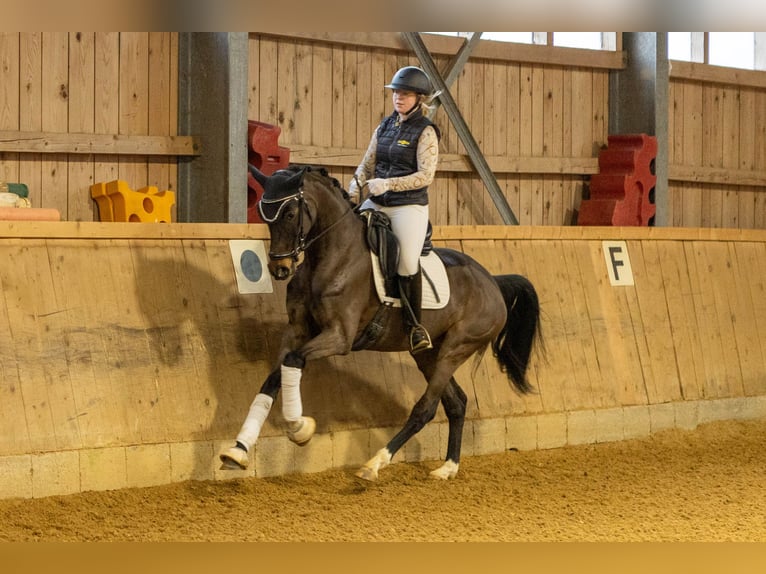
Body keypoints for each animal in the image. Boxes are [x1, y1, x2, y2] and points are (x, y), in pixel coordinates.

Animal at [220, 164, 542, 481]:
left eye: (288, 213)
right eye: (263, 214)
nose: (280, 269)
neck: (333, 256)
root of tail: (493, 282)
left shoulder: (339, 336)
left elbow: (294, 361)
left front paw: (300, 427)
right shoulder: (297, 331)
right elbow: (275, 377)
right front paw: (238, 450)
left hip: (456, 349)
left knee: (426, 408)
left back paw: (374, 464)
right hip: (428, 354)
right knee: (457, 402)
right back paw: (448, 467)